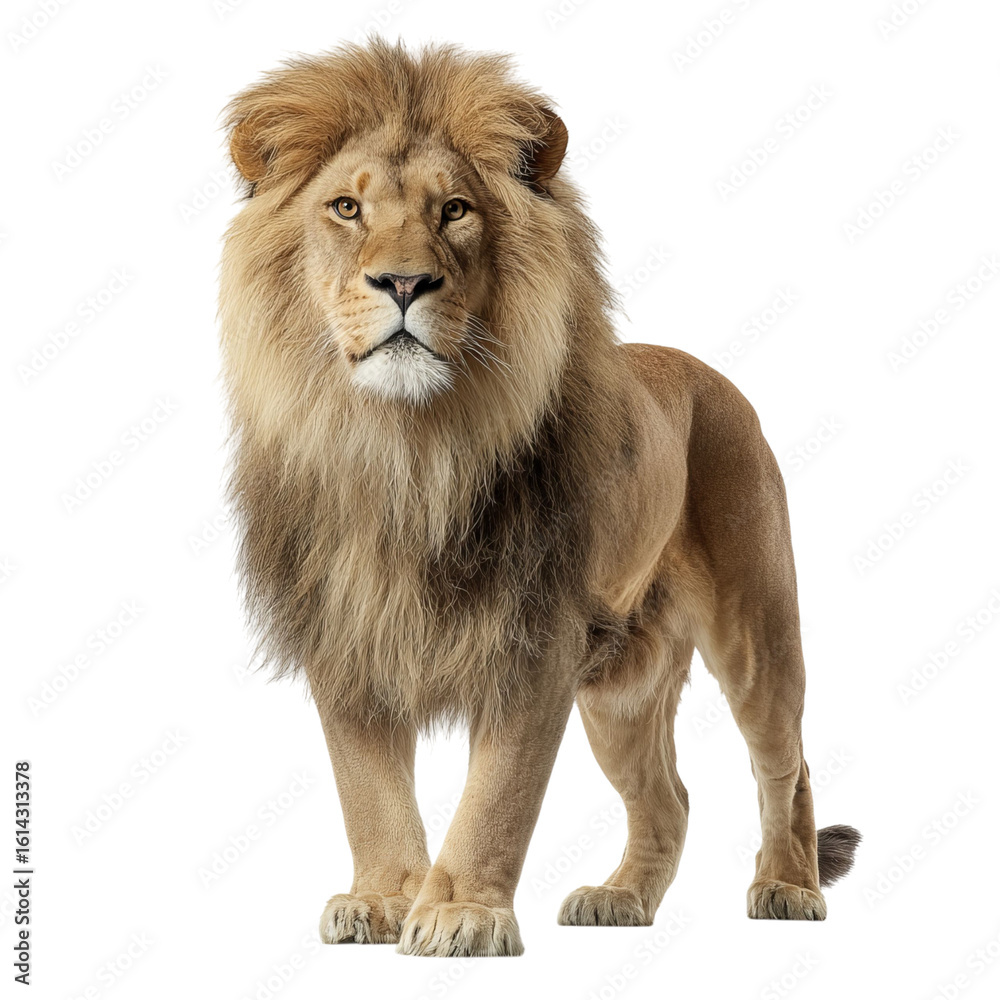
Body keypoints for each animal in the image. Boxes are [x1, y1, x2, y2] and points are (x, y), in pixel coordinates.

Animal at [218, 39, 860, 957]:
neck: (405, 448)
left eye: (454, 210)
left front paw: (460, 912)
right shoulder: (344, 629)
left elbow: (499, 795)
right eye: (346, 207)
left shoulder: (538, 633)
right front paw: (383, 900)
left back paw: (788, 886)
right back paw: (620, 898)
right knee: (670, 797)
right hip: (621, 686)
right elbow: (366, 787)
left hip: (757, 628)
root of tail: (704, 370)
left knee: (786, 763)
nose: (402, 283)